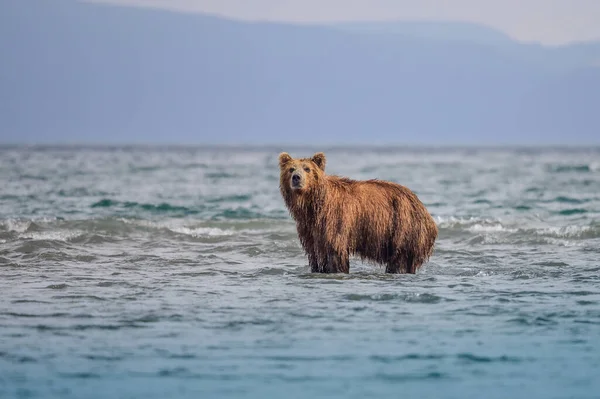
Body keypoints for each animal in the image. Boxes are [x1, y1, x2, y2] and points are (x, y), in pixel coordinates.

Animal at [278, 152, 438, 274]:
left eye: (307, 169)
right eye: (291, 169)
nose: (296, 178)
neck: (313, 204)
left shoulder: (335, 219)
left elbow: (334, 250)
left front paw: (336, 269)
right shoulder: (309, 228)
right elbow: (315, 252)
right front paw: (318, 269)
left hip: (403, 227)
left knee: (399, 259)